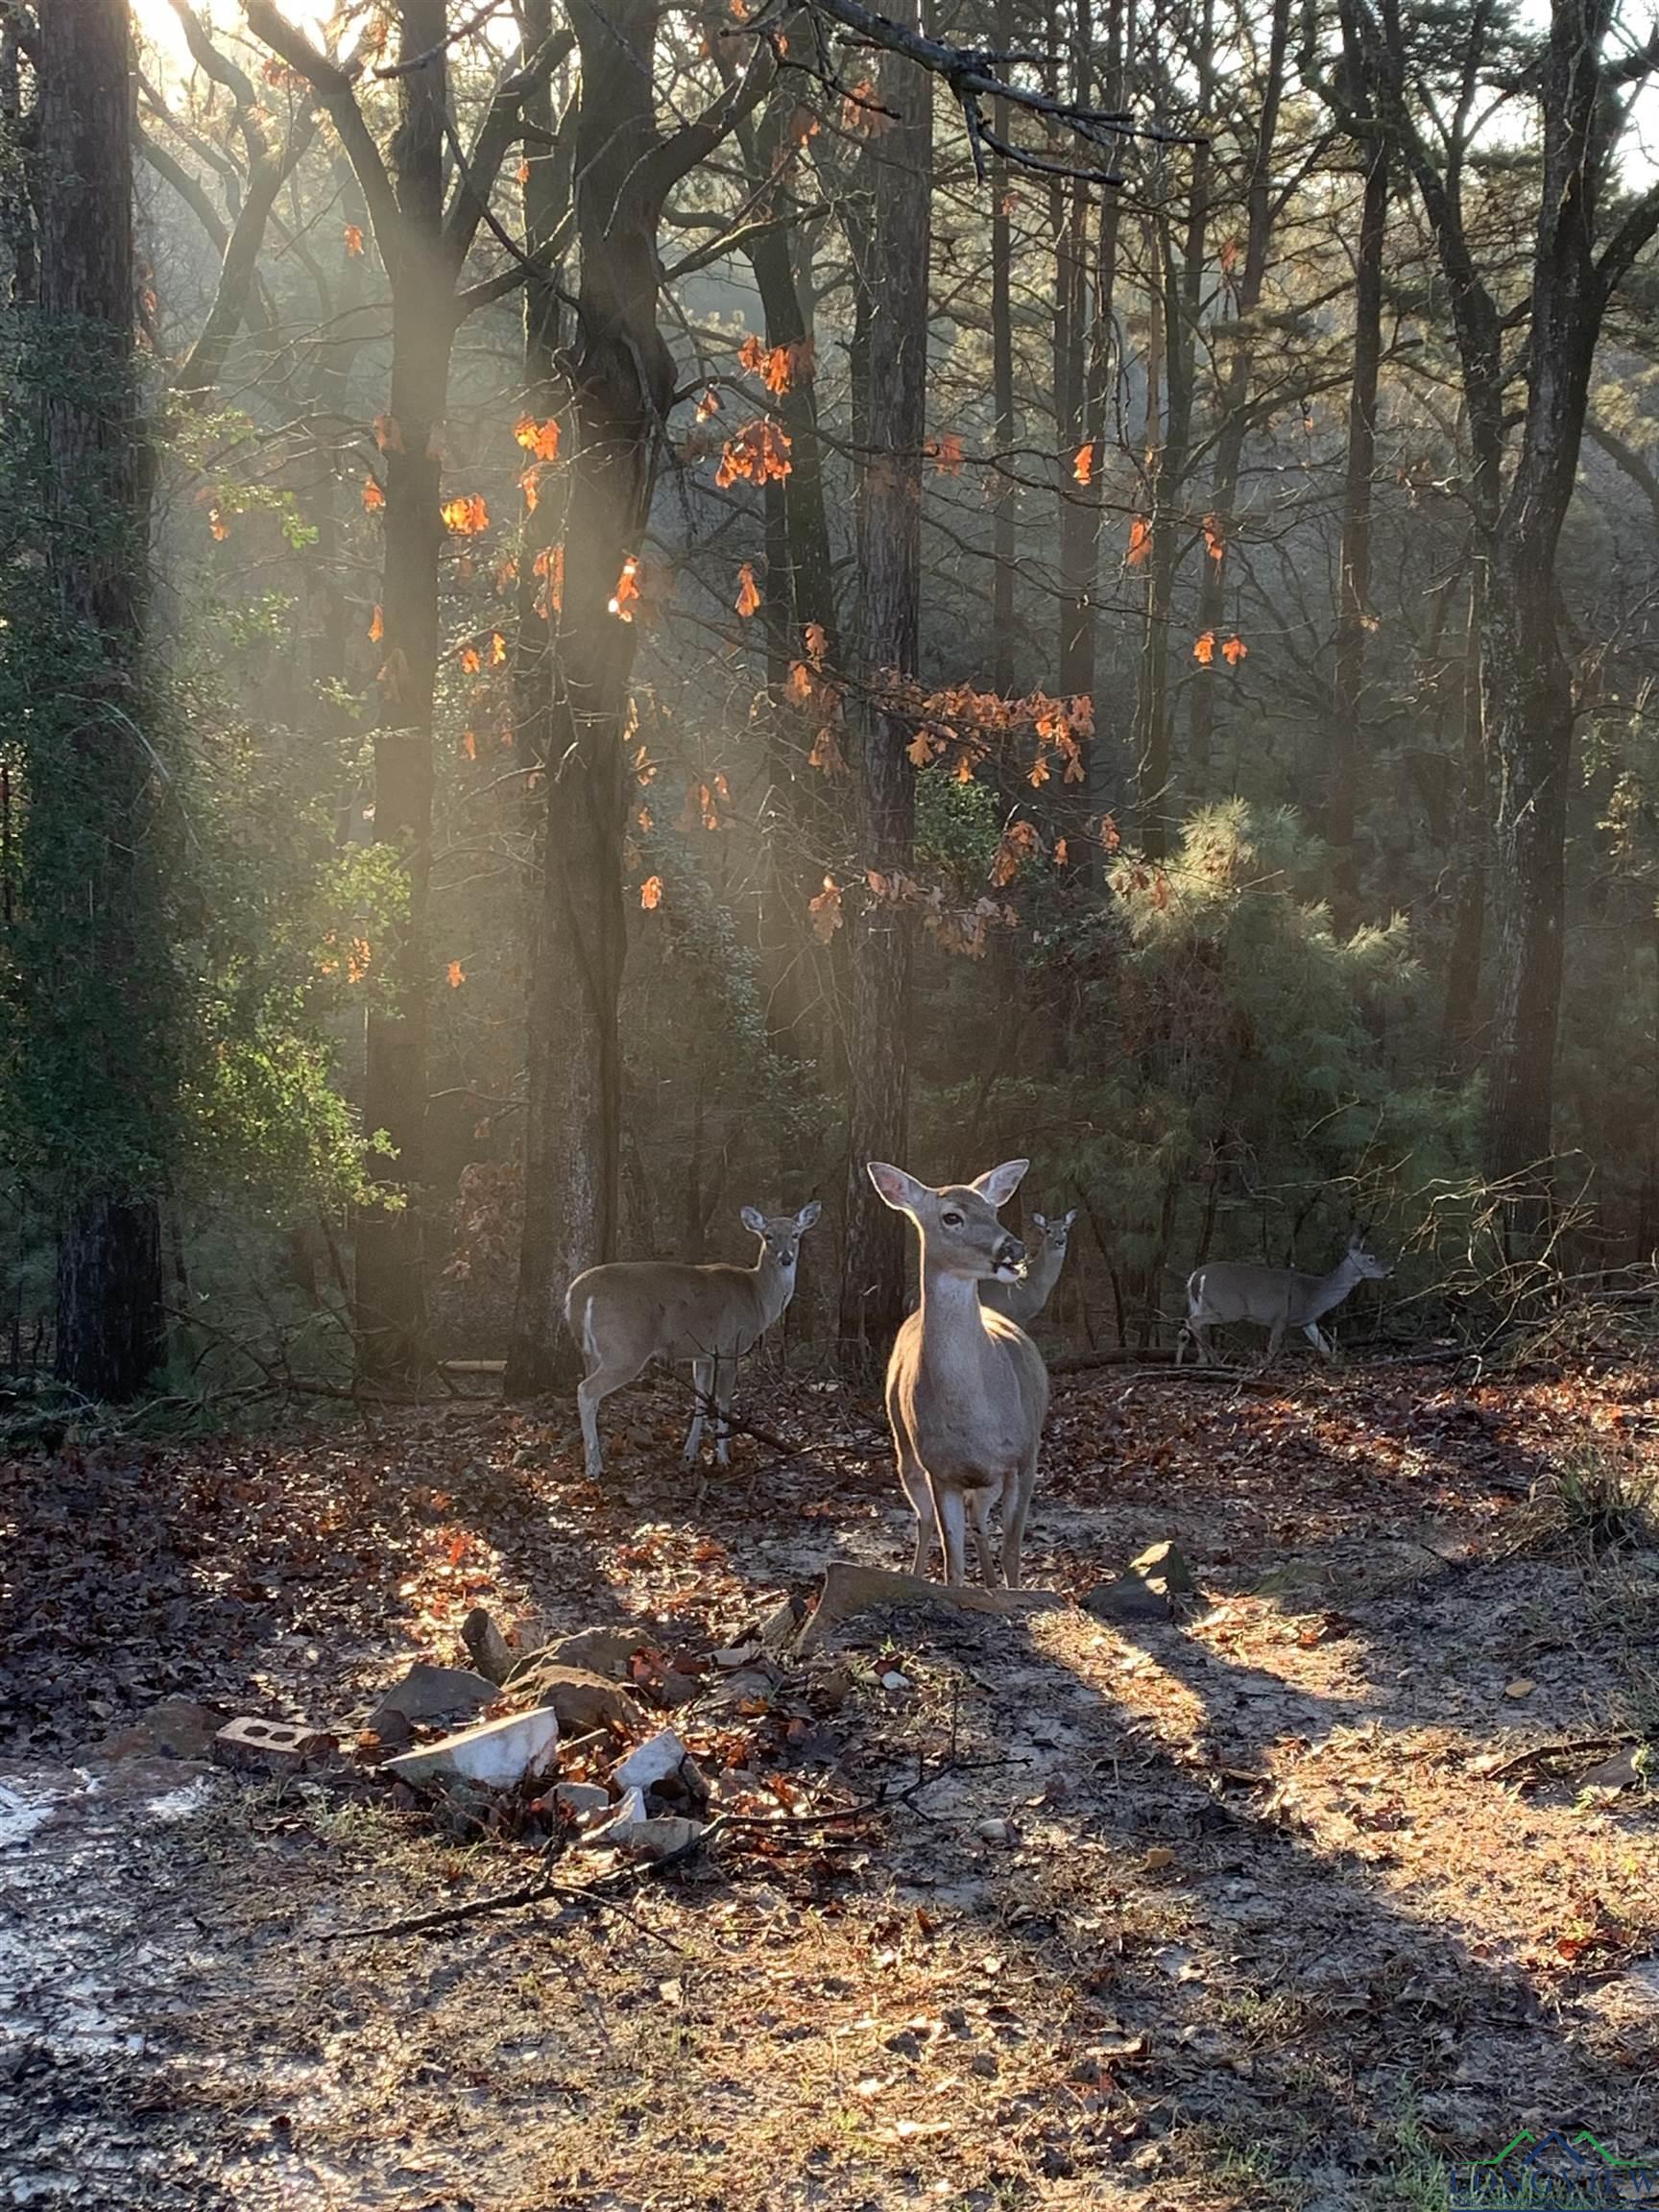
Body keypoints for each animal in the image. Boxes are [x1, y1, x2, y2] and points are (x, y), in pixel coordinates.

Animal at [570, 1203, 823, 1478]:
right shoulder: (729, 1346)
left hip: (591, 1352)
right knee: (586, 1390)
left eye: (796, 1234)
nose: (786, 1258)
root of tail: (577, 1292)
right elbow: (723, 1403)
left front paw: (690, 1454)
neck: (758, 1297)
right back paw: (594, 1467)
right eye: (768, 1236)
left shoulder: (703, 1354)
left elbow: (701, 1400)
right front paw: (723, 1459)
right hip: (625, 1348)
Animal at [871, 1159, 1052, 1592]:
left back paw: (988, 1579)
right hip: (905, 1449)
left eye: (993, 1210)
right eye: (951, 1216)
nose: (1013, 1248)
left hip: (989, 1479)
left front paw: (1009, 1590)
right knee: (924, 1520)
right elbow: (952, 1562)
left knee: (978, 1521)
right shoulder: (942, 1470)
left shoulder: (1025, 1456)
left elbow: (1012, 1553)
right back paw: (916, 1575)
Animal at [1176, 1230, 1398, 1362]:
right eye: (1371, 1258)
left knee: (1187, 1326)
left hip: (1201, 1303)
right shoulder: (1280, 1316)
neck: (1315, 1294)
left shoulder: (1308, 1321)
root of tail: (1195, 1277)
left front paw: (1335, 1365)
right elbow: (1272, 1348)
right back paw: (1213, 1360)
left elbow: (1324, 1348)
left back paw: (1196, 1361)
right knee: (1194, 1321)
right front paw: (1265, 1368)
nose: (1391, 1270)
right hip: (1228, 1306)